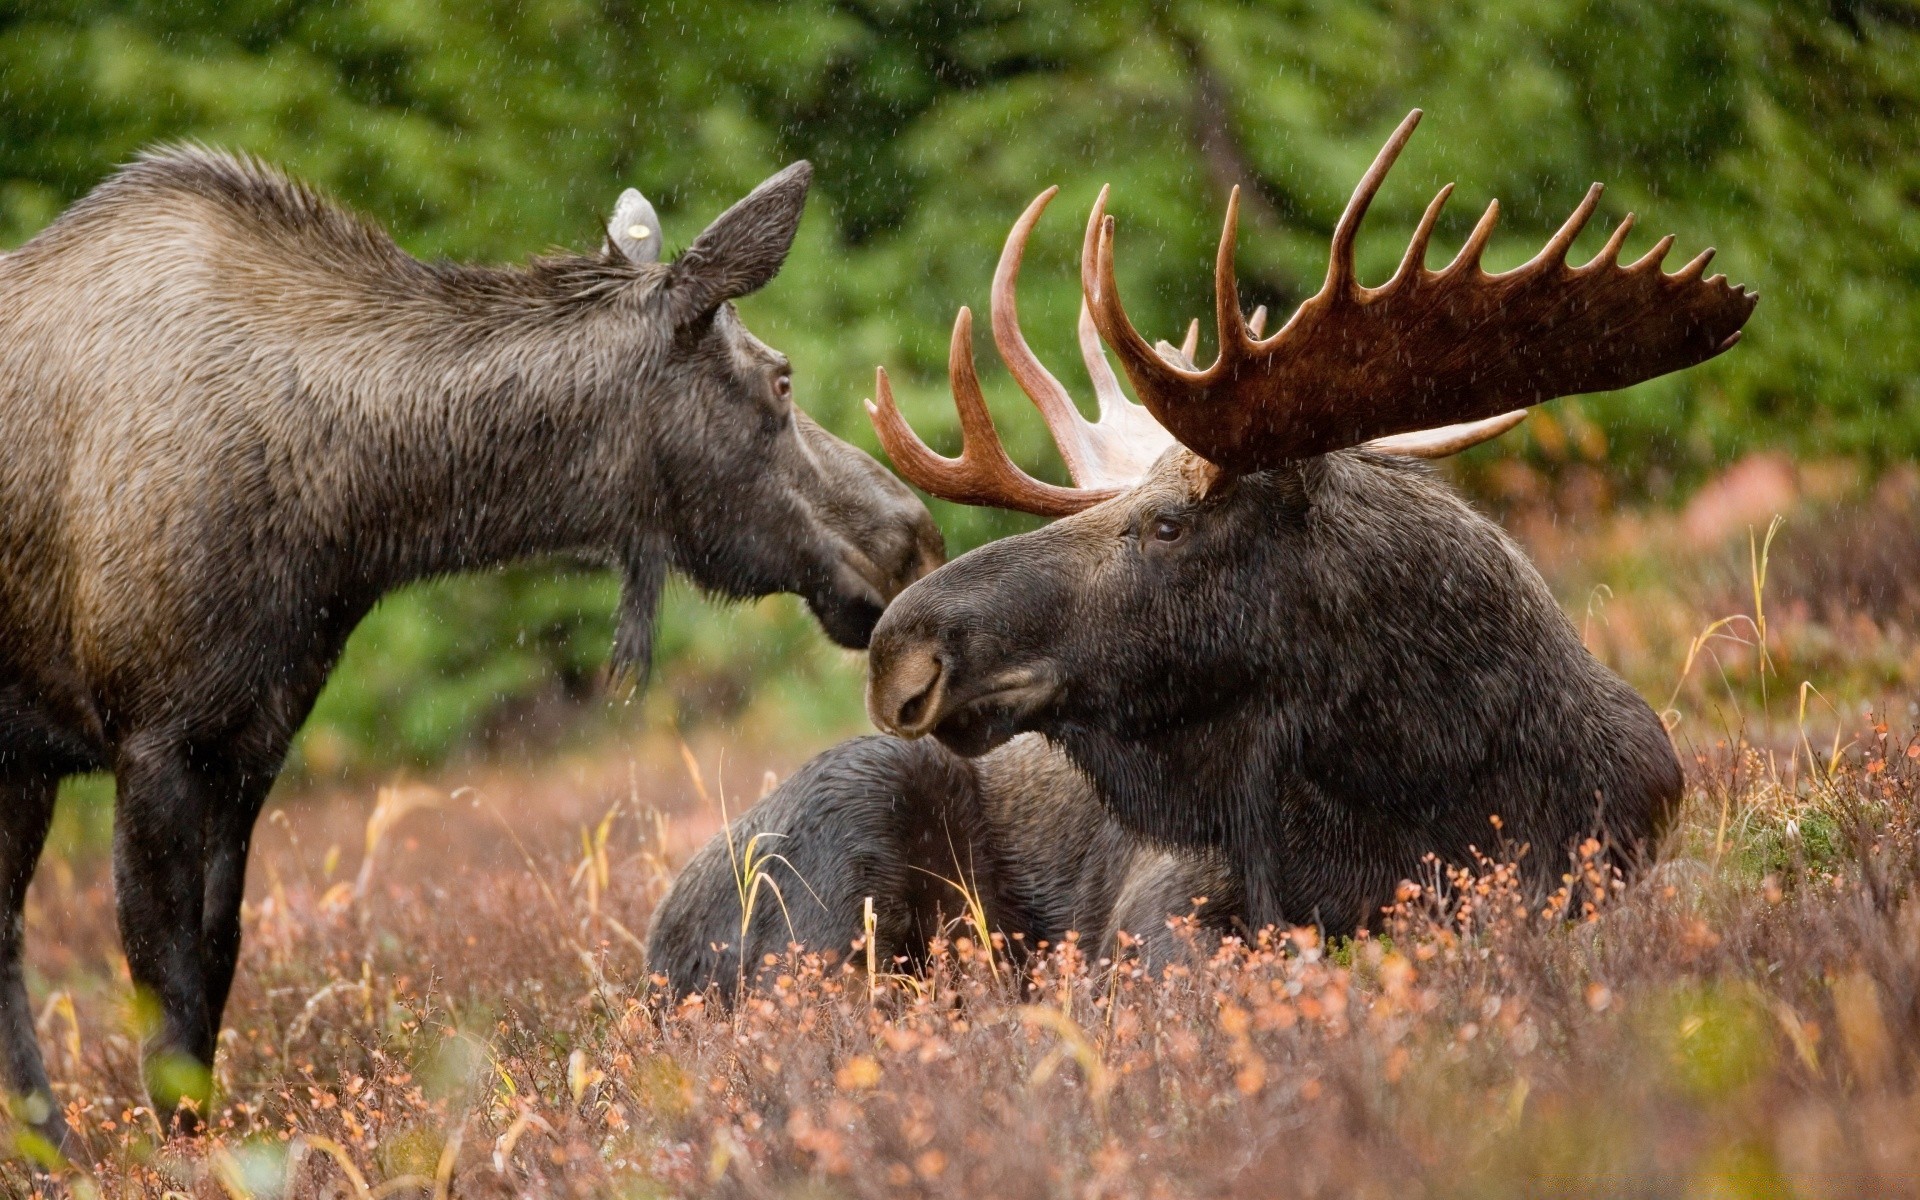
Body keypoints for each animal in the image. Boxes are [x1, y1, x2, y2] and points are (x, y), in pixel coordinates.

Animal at [0, 149, 944, 1144]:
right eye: (781, 379)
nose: (912, 536)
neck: (351, 517)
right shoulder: (154, 739)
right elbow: (168, 997)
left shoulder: (250, 741)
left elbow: (215, 968)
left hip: (23, 765)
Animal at [648, 109, 1758, 990]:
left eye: (1168, 524)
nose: (901, 648)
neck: (1434, 779)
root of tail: (652, 948)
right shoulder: (1166, 907)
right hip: (843, 841)